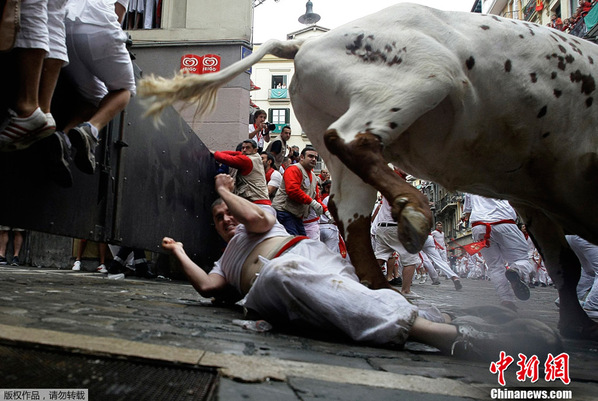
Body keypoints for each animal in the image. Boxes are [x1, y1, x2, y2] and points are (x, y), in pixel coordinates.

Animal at [141, 3, 598, 340]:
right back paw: (413, 215)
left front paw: (576, 325)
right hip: (421, 75)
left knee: (349, 209)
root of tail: (312, 43)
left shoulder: (532, 199)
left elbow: (565, 265)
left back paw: (381, 285)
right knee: (352, 139)